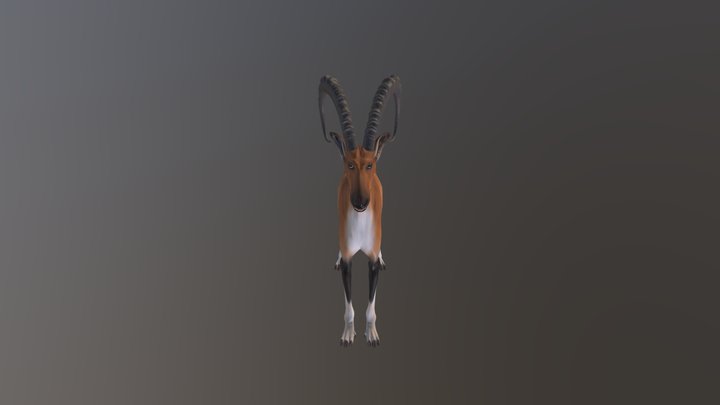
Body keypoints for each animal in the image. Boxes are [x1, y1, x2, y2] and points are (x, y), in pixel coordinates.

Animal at [318, 75, 401, 347]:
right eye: (349, 164)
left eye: (370, 164)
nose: (361, 202)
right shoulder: (348, 261)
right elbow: (349, 307)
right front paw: (347, 336)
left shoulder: (371, 260)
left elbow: (370, 307)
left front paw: (372, 335)